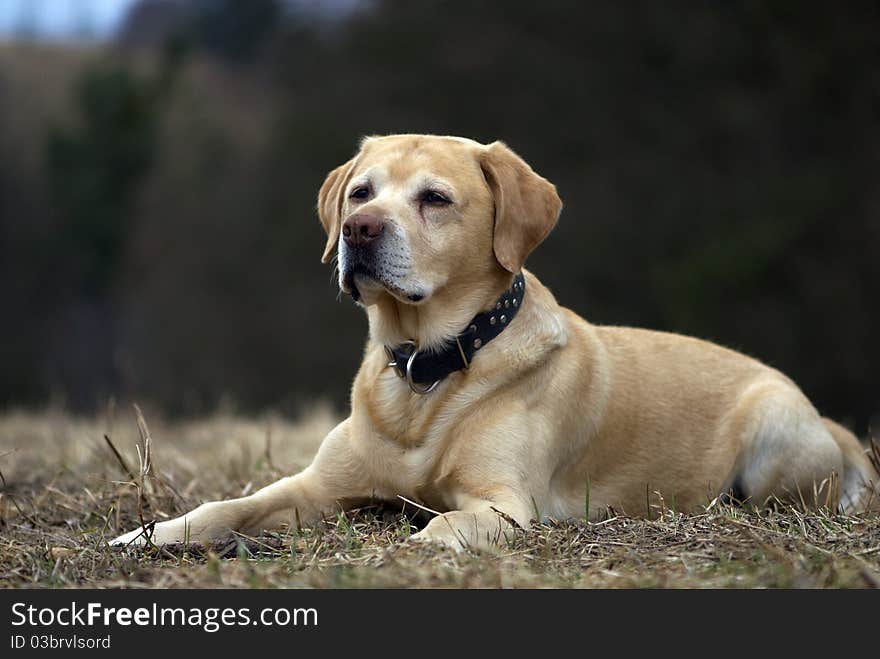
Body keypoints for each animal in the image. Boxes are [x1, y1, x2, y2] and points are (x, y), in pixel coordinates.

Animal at [113, 134, 876, 552]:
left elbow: (442, 526)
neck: (424, 368)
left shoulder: (503, 503)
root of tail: (820, 412)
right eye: (360, 192)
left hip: (771, 432)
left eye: (434, 199)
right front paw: (147, 535)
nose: (358, 229)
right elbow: (226, 505)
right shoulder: (316, 484)